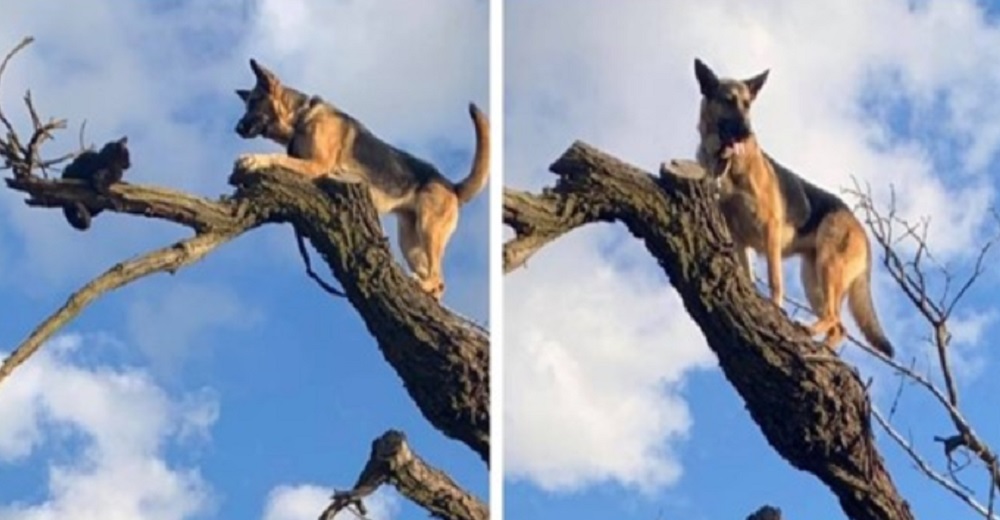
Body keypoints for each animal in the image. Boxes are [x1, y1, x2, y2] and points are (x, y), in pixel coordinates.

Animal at [231, 59, 488, 300]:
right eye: (247, 103)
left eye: (254, 102)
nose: (237, 129)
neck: (301, 116)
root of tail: (452, 186)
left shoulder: (317, 165)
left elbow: (275, 157)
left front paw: (252, 159)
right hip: (409, 241)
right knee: (437, 284)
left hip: (428, 229)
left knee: (439, 279)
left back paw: (423, 285)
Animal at [692, 58, 896, 358]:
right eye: (728, 101)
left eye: (747, 104)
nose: (748, 131)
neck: (726, 164)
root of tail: (858, 226)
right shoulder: (738, 239)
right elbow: (748, 276)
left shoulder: (770, 229)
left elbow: (774, 279)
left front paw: (776, 308)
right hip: (812, 278)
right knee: (840, 326)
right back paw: (821, 347)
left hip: (828, 267)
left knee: (835, 318)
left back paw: (809, 332)